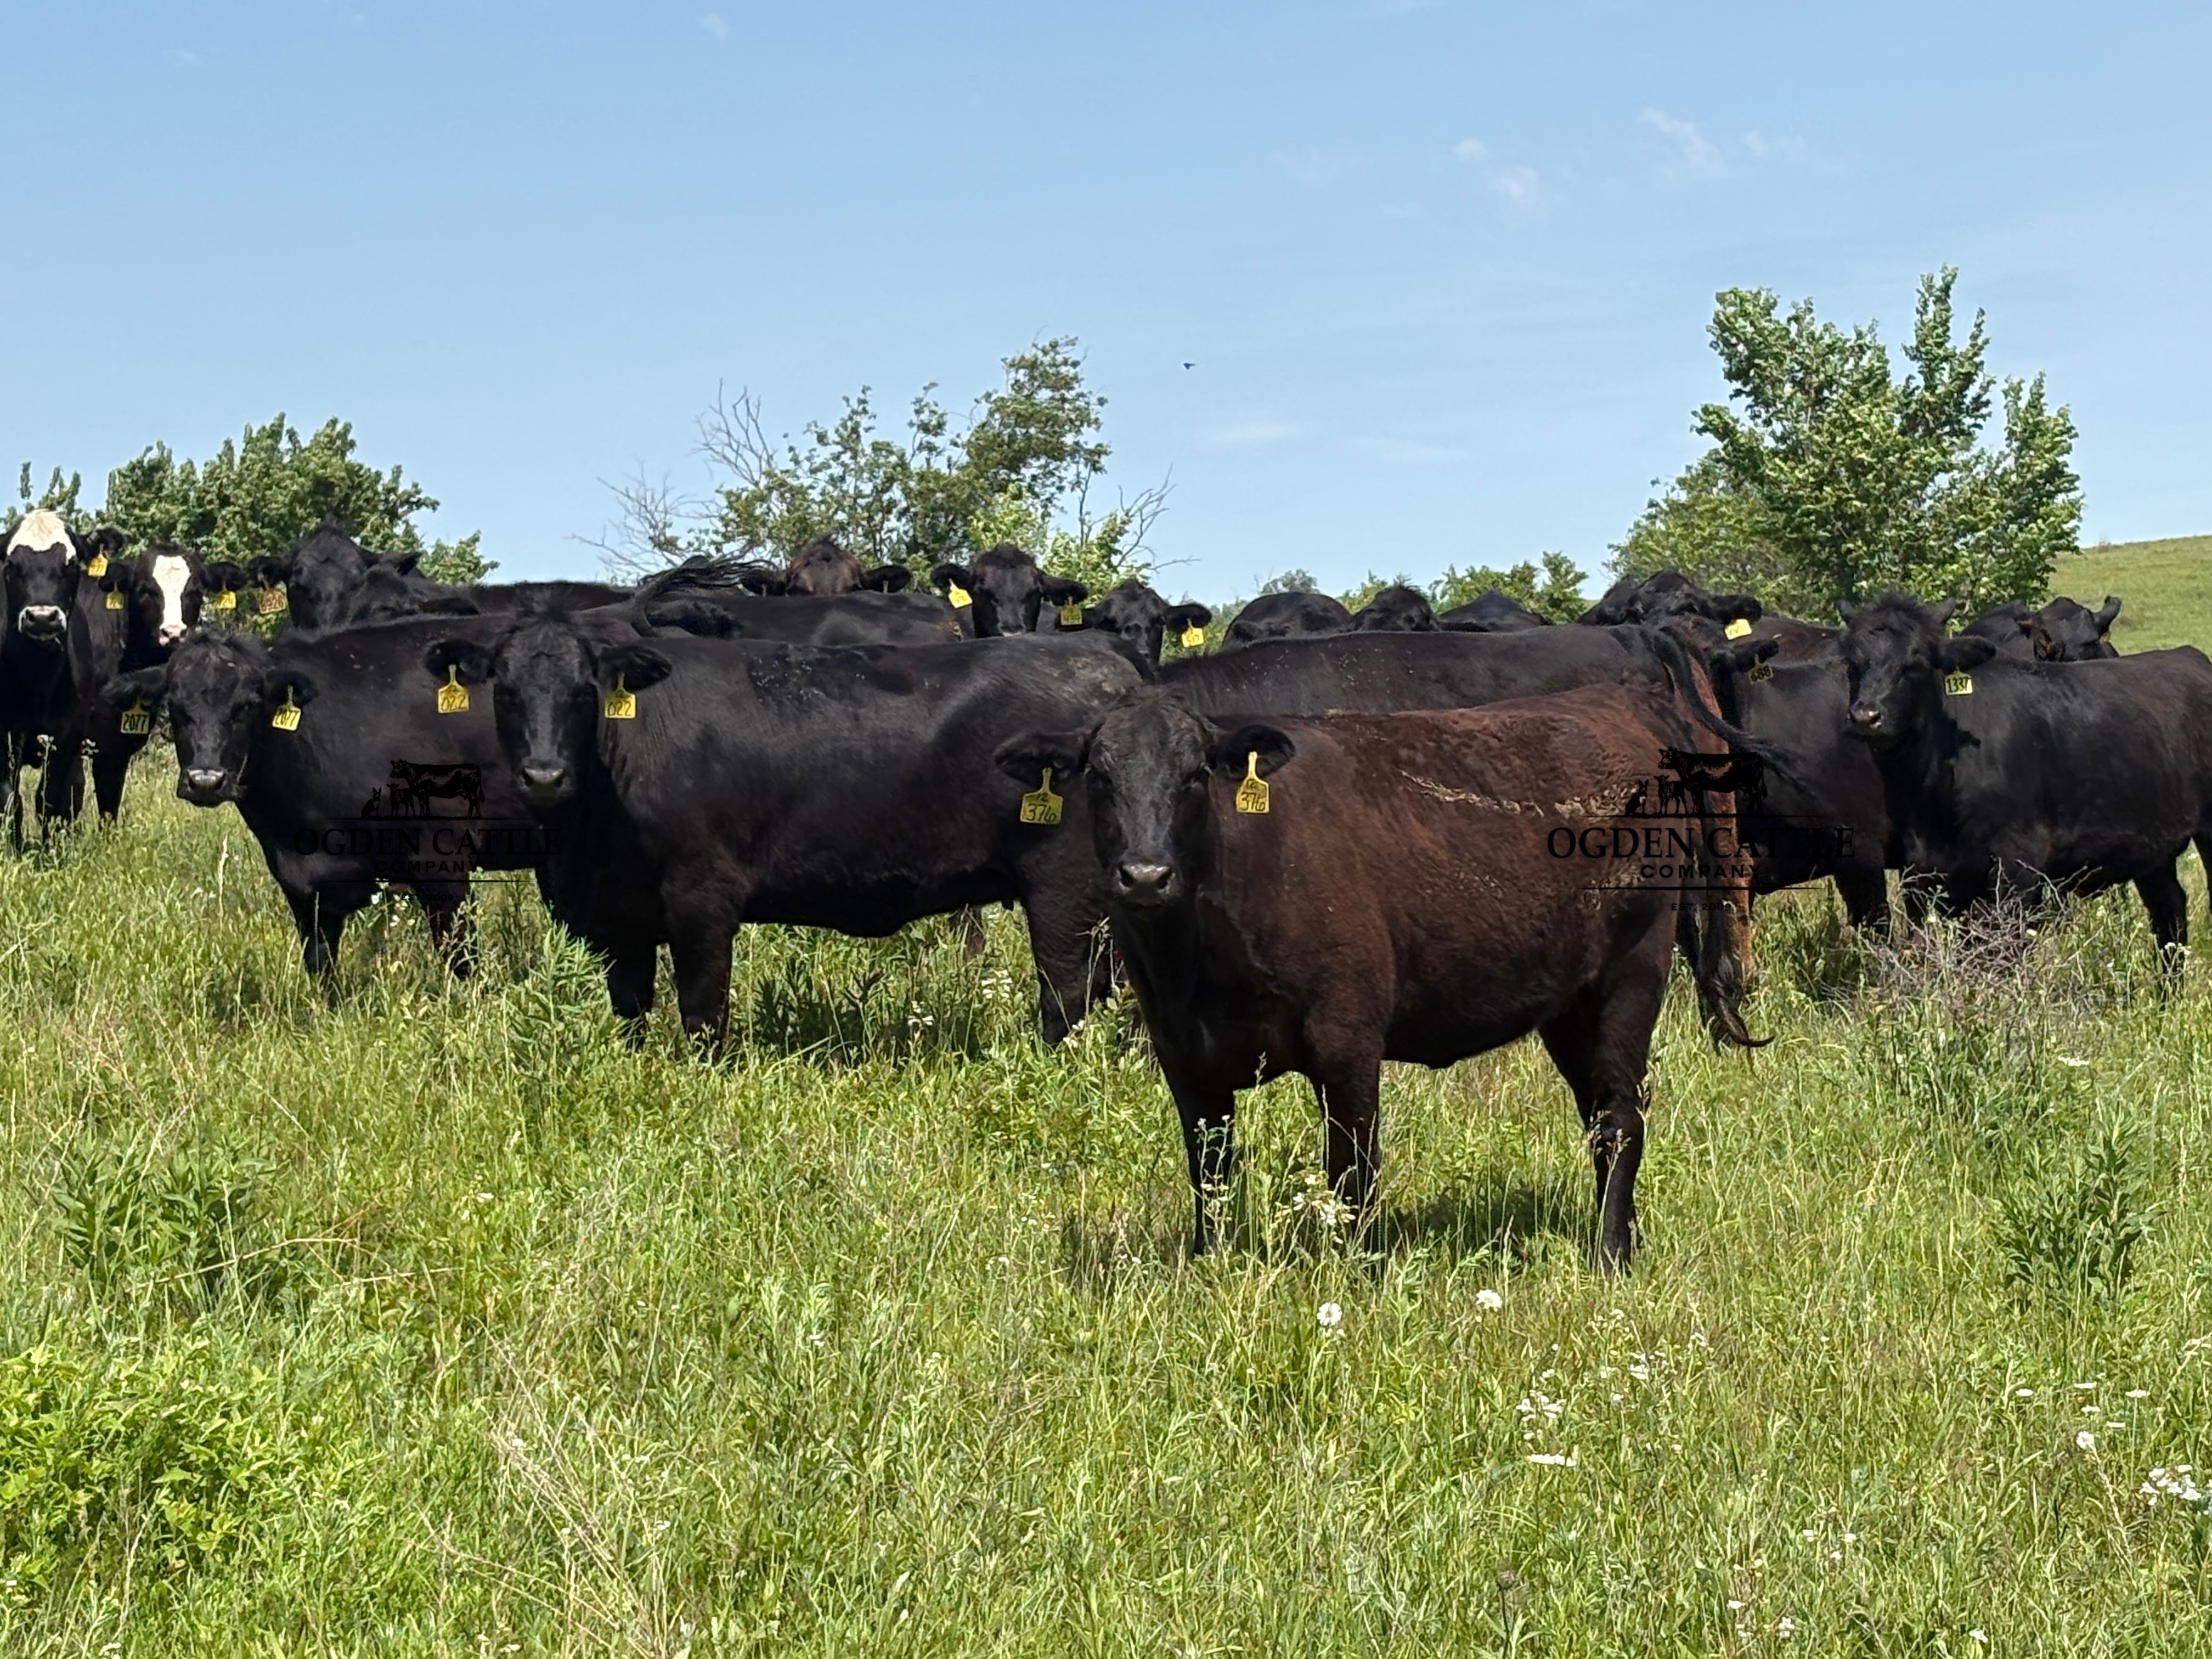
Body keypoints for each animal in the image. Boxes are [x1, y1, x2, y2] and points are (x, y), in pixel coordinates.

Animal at [107, 614, 552, 979]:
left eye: (248, 705)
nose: (205, 781)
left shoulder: (442, 858)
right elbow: (320, 965)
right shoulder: (301, 882)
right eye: (175, 706)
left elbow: (461, 958)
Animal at [421, 617, 1148, 1045]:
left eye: (583, 691)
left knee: (1070, 992)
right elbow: (630, 1010)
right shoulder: (618, 920)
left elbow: (702, 1013)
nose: (544, 775)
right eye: (506, 691)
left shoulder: (702, 898)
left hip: (1066, 887)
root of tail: (1102, 660)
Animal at [992, 683, 1760, 1266]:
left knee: (1621, 1115)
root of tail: (1614, 699)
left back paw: (1611, 1254)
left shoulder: (1347, 1041)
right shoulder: (1186, 1060)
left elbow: (1351, 1171)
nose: (1146, 876)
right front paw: (1211, 1264)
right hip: (1569, 1003)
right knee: (1598, 1112)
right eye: (1099, 776)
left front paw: (1354, 1275)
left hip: (1632, 973)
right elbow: (1209, 1174)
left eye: (1194, 776)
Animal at [1839, 591, 2212, 970]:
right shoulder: (1923, 874)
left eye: (1916, 662)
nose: (1867, 716)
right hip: (2152, 848)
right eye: (1852, 664)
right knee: (2169, 913)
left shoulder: (2017, 868)